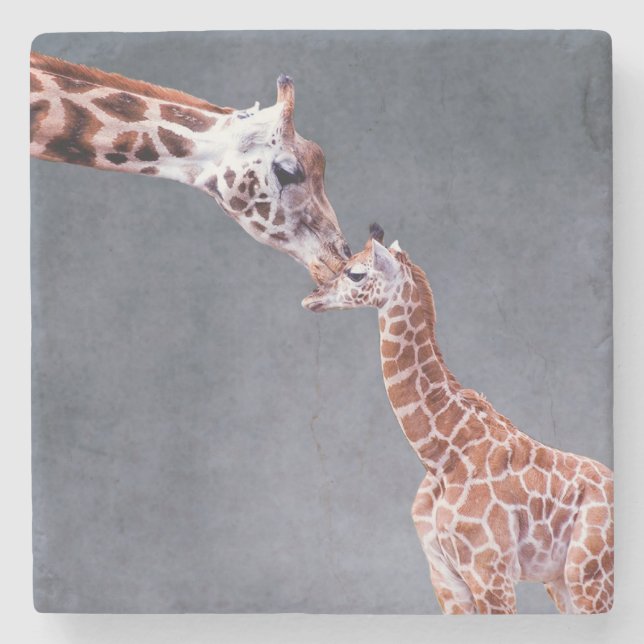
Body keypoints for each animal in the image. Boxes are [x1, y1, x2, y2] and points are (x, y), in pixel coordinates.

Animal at [302, 227, 614, 615]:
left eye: (355, 273)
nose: (312, 298)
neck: (441, 456)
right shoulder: (444, 577)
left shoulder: (490, 572)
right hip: (560, 580)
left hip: (589, 574)